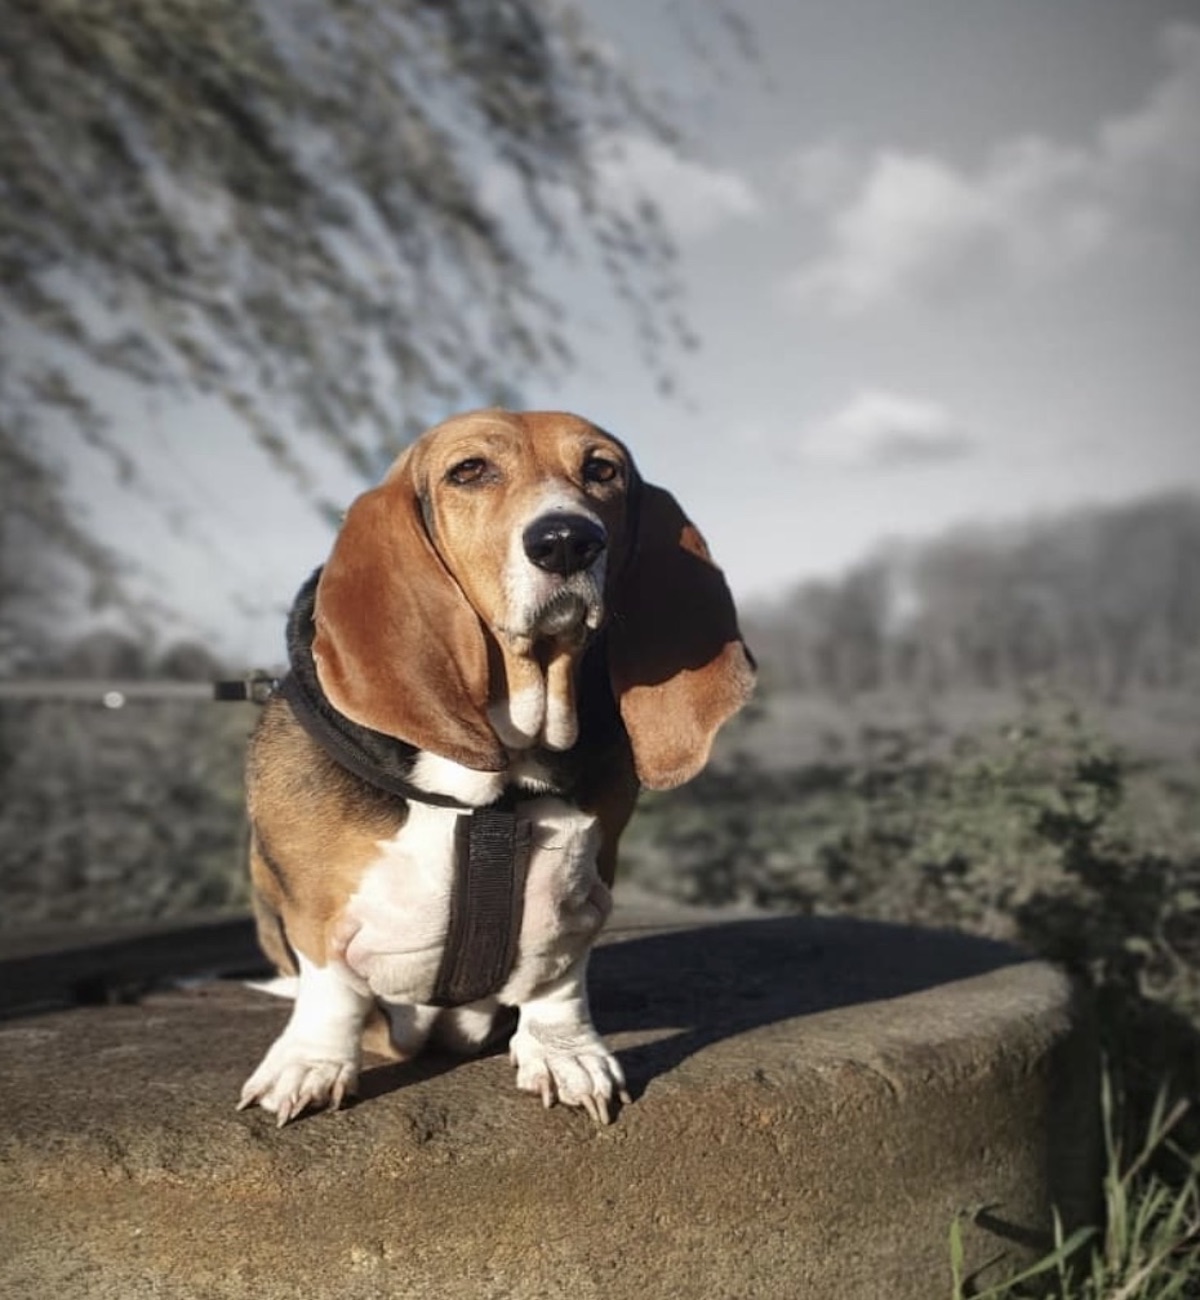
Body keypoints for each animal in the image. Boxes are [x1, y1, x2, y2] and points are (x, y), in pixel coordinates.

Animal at [239, 408, 754, 1128]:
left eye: (602, 470)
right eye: (470, 471)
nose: (567, 541)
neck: (498, 783)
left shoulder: (583, 888)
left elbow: (557, 979)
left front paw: (564, 1055)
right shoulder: (312, 901)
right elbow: (331, 986)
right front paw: (312, 1063)